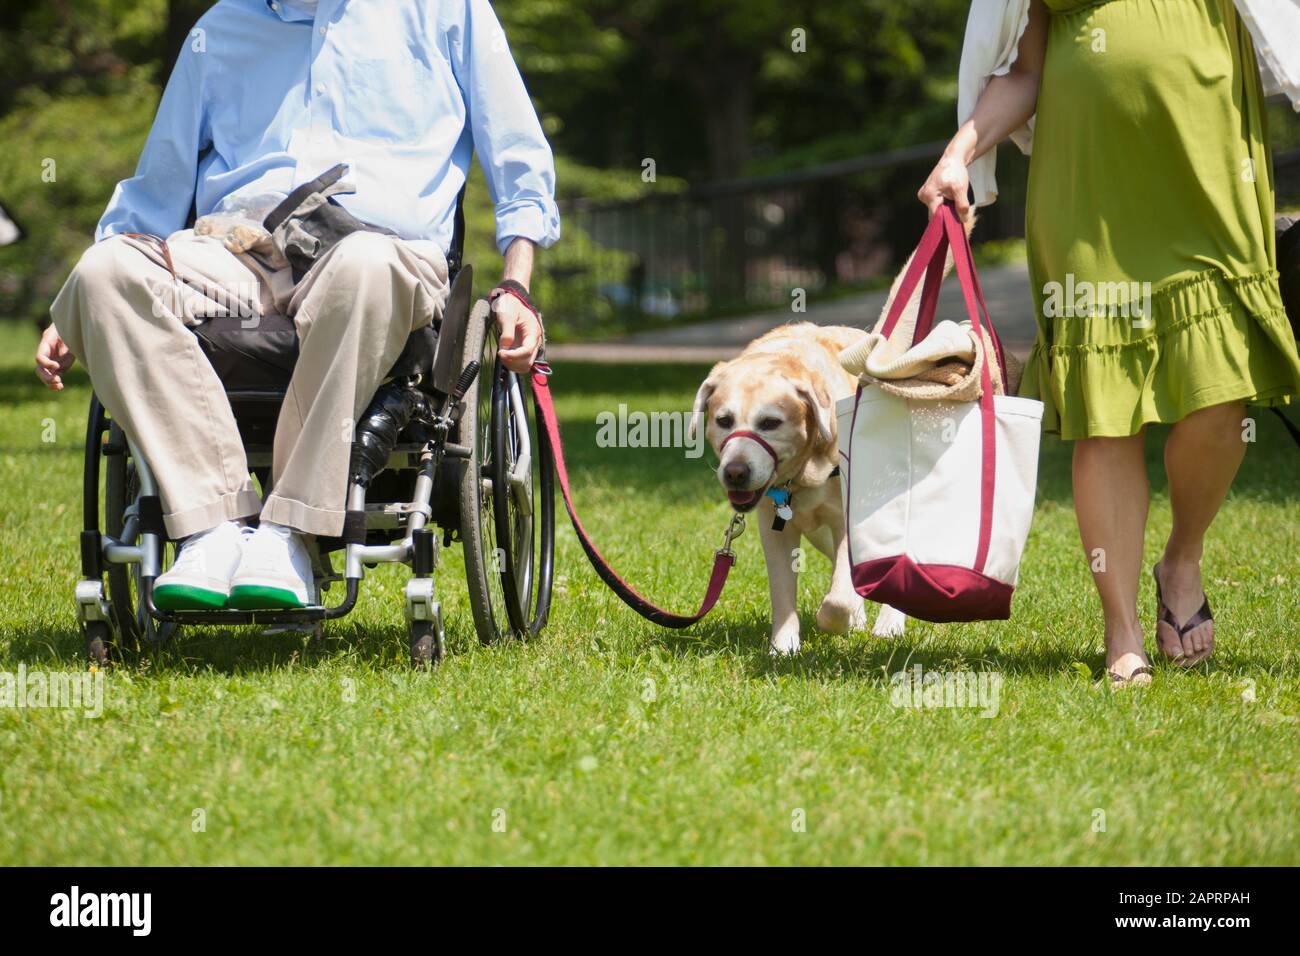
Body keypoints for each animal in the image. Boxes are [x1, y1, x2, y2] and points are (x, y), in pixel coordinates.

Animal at [691, 325, 904, 655]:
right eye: (724, 420)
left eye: (770, 422)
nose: (735, 473)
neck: (802, 474)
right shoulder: (774, 529)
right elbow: (783, 592)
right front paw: (783, 649)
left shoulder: (848, 523)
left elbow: (838, 601)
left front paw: (834, 620)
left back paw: (889, 625)